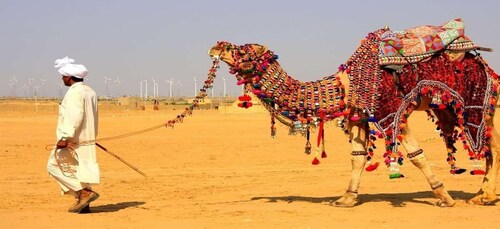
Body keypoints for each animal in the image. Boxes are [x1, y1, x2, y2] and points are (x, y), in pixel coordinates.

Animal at [205, 18, 498, 207]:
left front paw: (445, 198)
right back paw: (484, 194)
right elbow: (357, 158)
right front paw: (346, 198)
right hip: (451, 108)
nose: (215, 46)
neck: (344, 85)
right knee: (488, 145)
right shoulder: (358, 115)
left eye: (242, 49)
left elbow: (417, 155)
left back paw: (484, 196)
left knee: (490, 144)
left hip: (475, 102)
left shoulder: (391, 112)